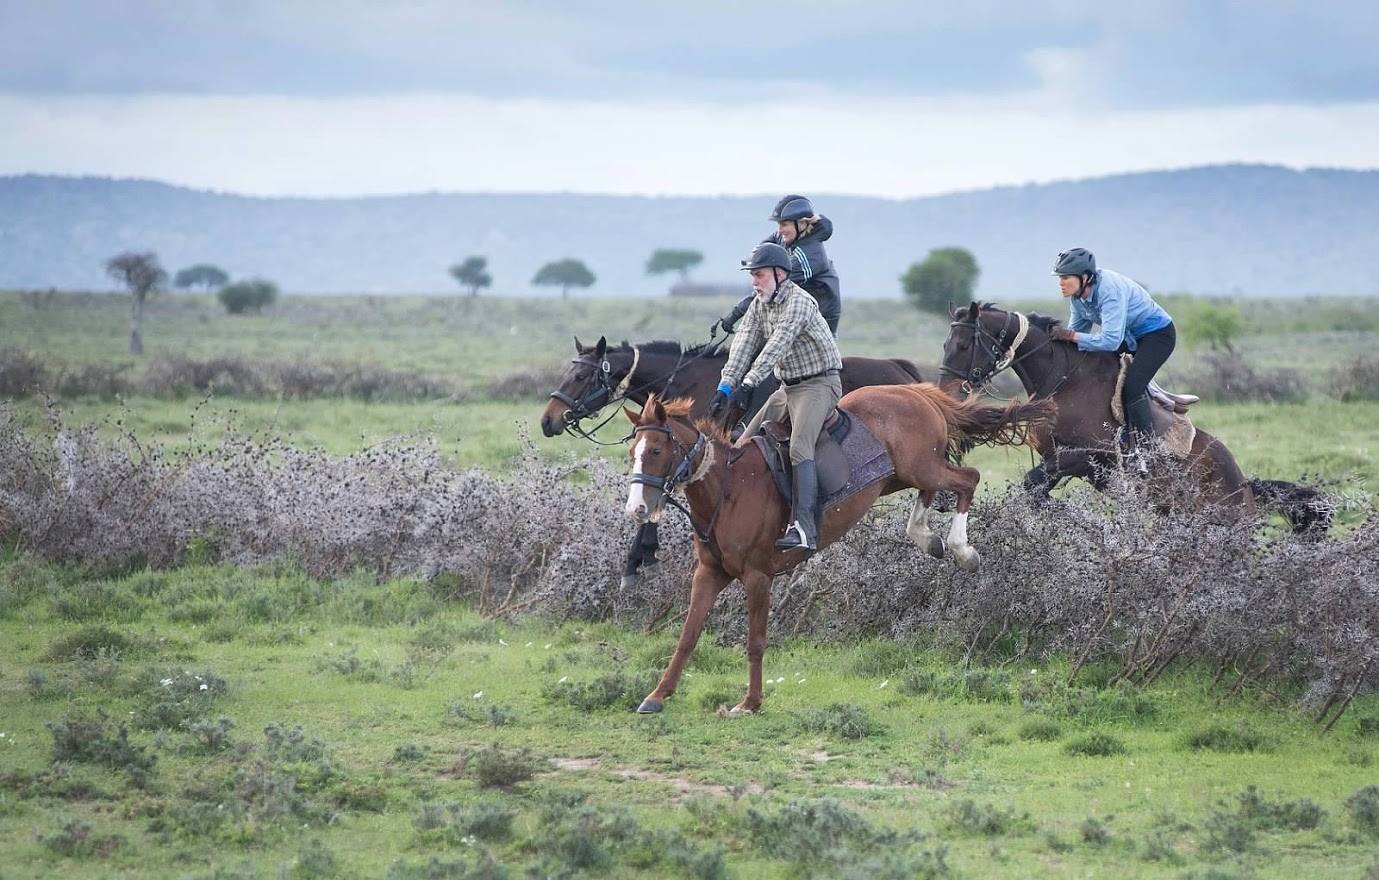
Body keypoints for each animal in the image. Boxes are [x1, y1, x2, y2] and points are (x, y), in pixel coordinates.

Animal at [541, 336, 925, 586]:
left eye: (579, 376)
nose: (548, 420)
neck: (691, 384)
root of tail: (900, 369)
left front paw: (638, 561)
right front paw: (640, 558)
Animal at [622, 387, 1056, 715]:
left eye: (656, 451)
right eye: (632, 453)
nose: (637, 509)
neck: (729, 489)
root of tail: (919, 392)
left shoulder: (758, 578)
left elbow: (755, 641)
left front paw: (749, 703)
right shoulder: (710, 574)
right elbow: (688, 635)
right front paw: (657, 696)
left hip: (920, 466)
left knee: (968, 478)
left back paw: (961, 549)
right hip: (905, 474)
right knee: (935, 492)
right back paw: (926, 536)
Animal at [939, 302, 1322, 529]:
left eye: (963, 345)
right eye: (945, 345)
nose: (947, 393)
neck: (1064, 380)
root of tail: (1245, 485)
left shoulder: (1089, 456)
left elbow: (1033, 484)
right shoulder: (1054, 456)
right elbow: (1036, 488)